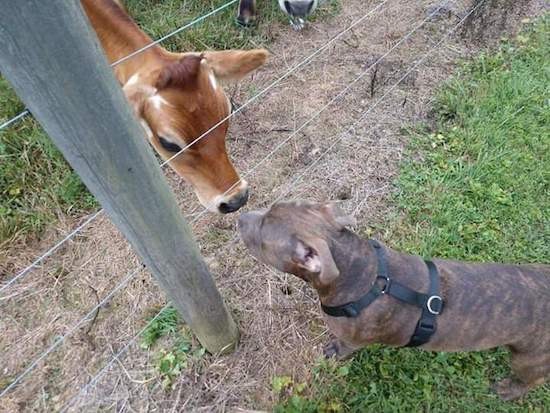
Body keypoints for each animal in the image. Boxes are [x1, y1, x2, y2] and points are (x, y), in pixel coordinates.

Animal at [238, 200, 550, 400]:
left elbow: (342, 347)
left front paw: (332, 352)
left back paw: (508, 391)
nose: (239, 217)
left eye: (262, 239)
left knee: (534, 378)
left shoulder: (352, 339)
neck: (358, 270)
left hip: (527, 359)